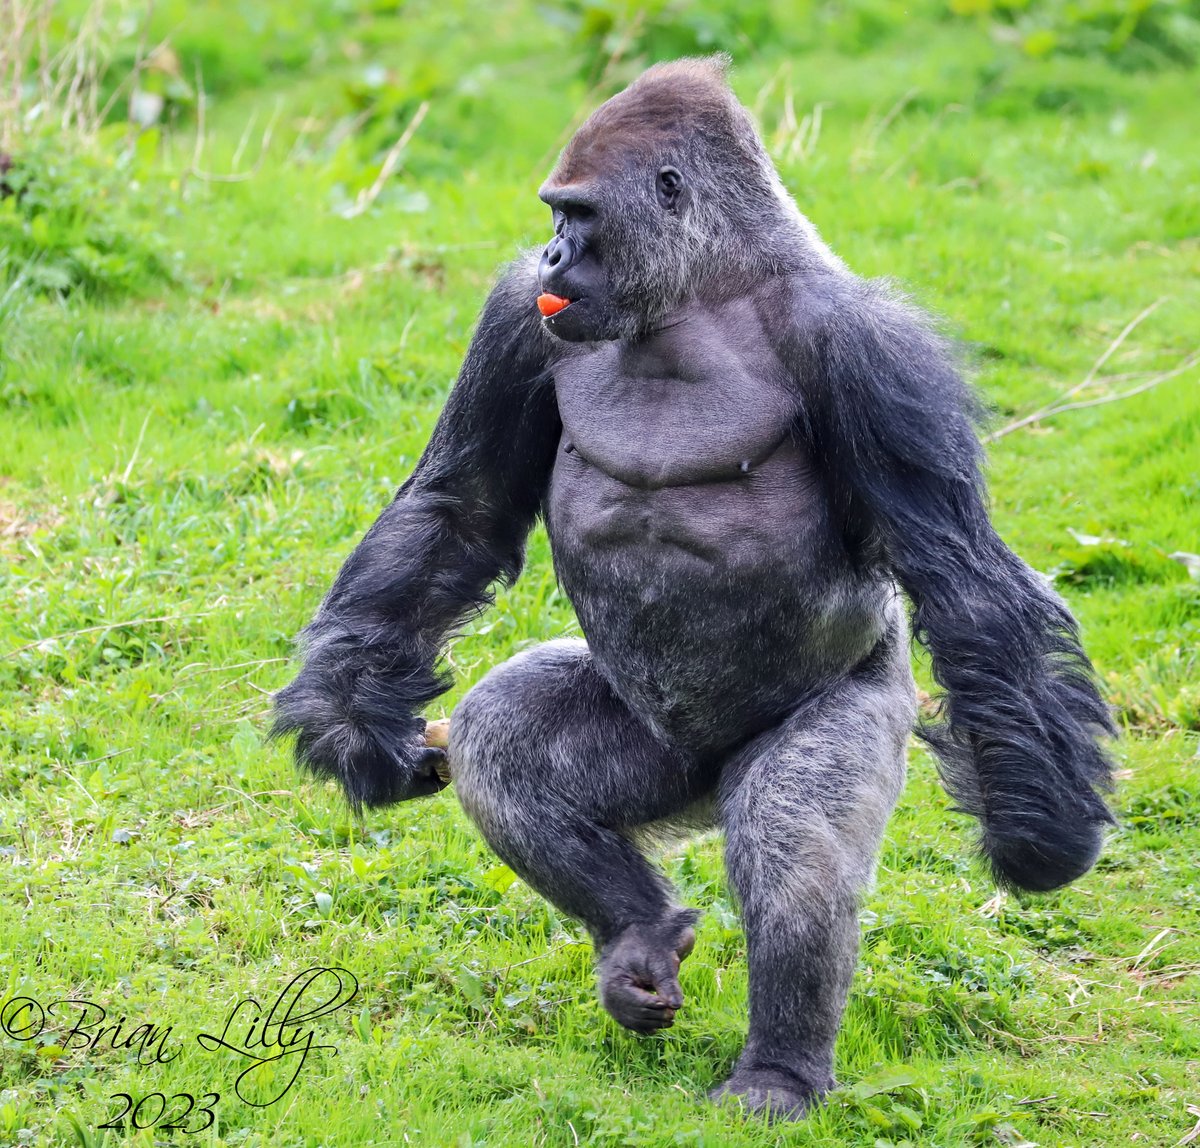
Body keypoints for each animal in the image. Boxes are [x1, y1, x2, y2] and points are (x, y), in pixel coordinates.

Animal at [272, 56, 1114, 1118]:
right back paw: (634, 932)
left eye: (579, 214)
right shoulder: (515, 318)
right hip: (657, 763)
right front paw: (352, 725)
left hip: (843, 712)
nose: (552, 253)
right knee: (503, 742)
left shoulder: (874, 351)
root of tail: (702, 789)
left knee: (792, 838)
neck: (703, 293)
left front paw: (1041, 833)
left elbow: (961, 576)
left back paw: (778, 1072)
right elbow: (459, 509)